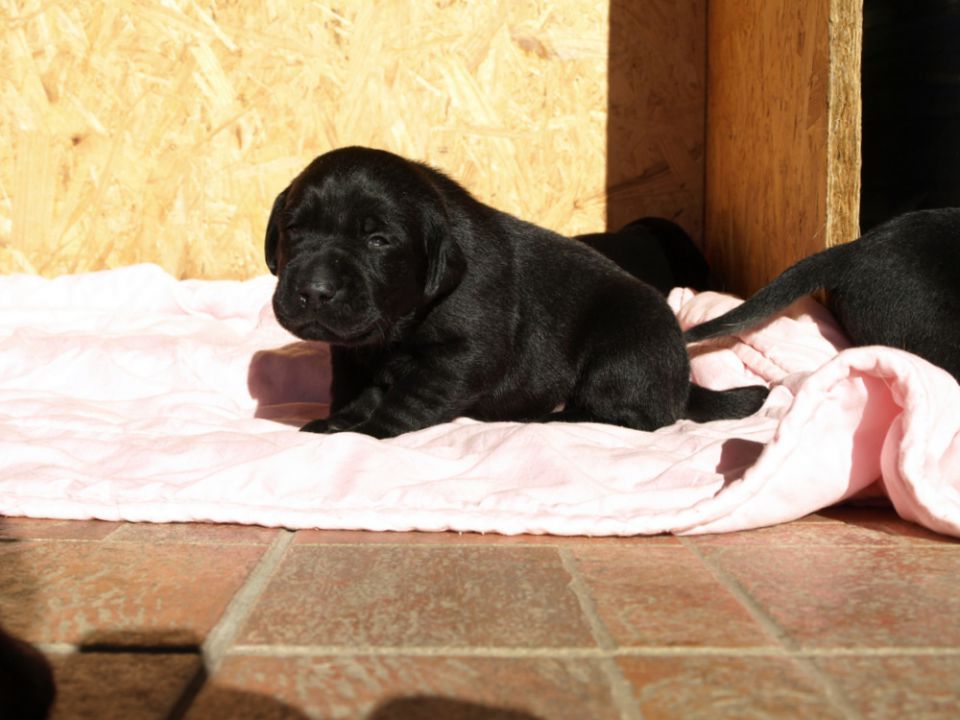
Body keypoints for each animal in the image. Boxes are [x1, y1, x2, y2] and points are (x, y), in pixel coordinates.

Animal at [262, 146, 764, 436]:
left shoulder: (462, 354)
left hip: (624, 351)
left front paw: (367, 433)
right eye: (294, 229)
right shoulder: (355, 352)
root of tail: (682, 379)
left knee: (638, 417)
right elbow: (356, 391)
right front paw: (336, 422)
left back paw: (554, 416)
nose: (314, 290)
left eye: (378, 241)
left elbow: (407, 400)